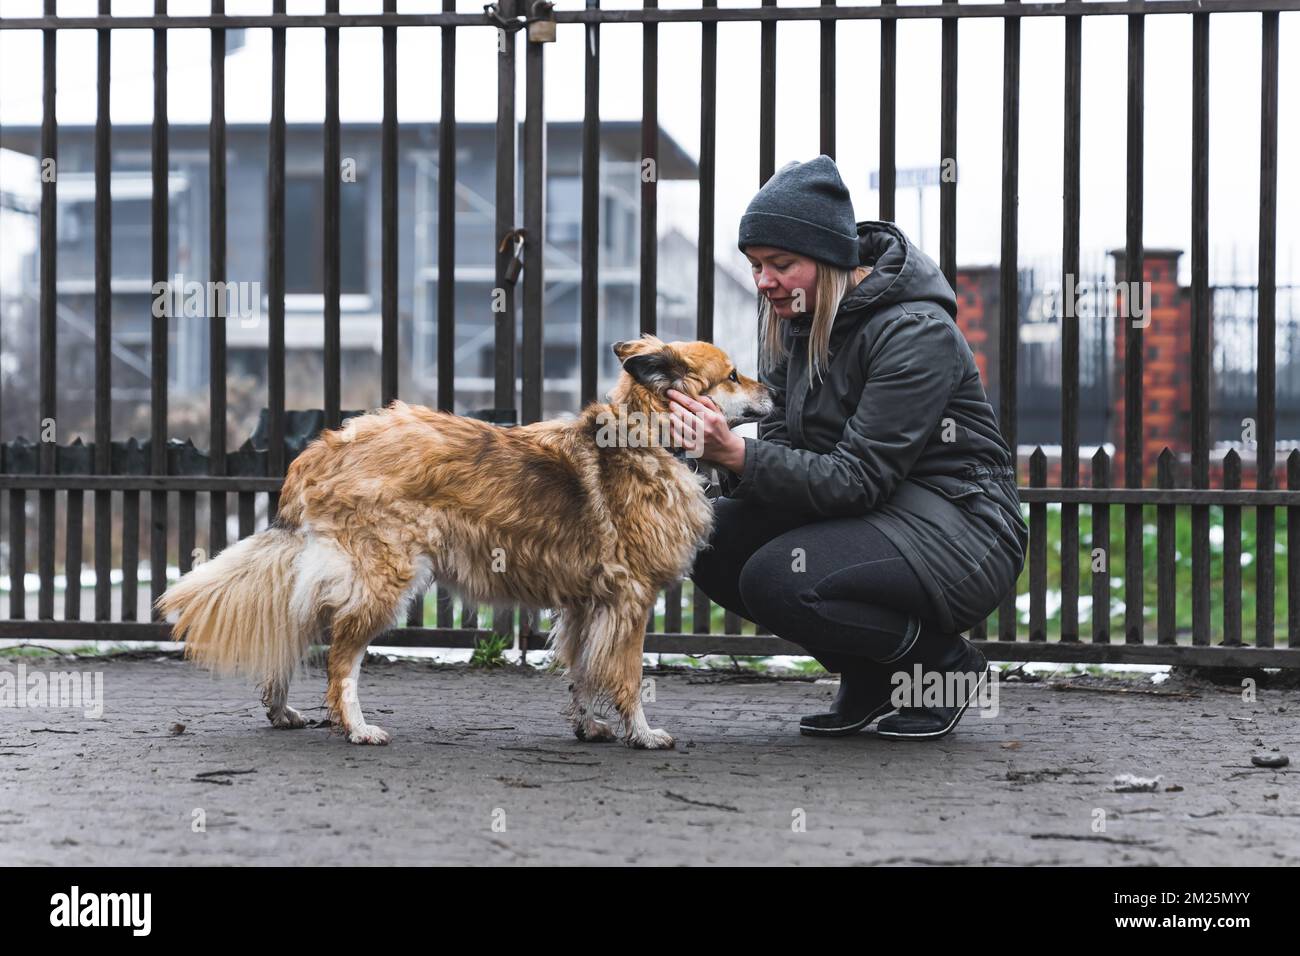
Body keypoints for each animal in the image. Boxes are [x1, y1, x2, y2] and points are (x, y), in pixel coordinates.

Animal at [157, 335, 774, 749]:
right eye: (734, 375)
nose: (772, 388)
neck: (648, 436)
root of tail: (323, 448)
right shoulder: (631, 601)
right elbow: (625, 676)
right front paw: (642, 734)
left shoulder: (586, 604)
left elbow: (580, 671)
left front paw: (588, 725)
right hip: (383, 579)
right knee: (339, 659)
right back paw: (355, 726)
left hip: (336, 573)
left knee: (294, 625)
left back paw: (281, 710)